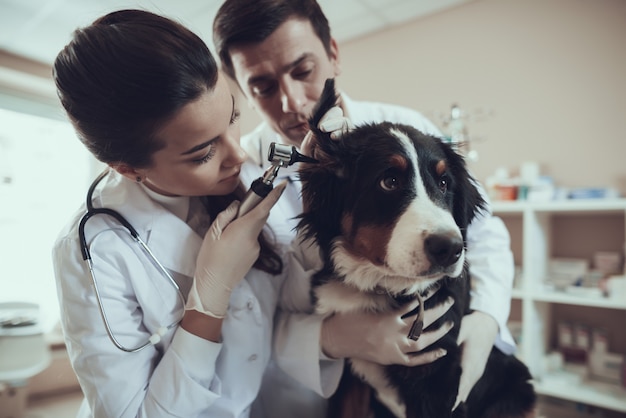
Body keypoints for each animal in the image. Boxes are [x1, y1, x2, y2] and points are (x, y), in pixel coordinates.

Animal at [294, 79, 532, 418]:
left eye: (444, 183)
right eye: (389, 181)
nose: (451, 248)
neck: (382, 287)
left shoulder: (439, 380)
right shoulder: (349, 375)